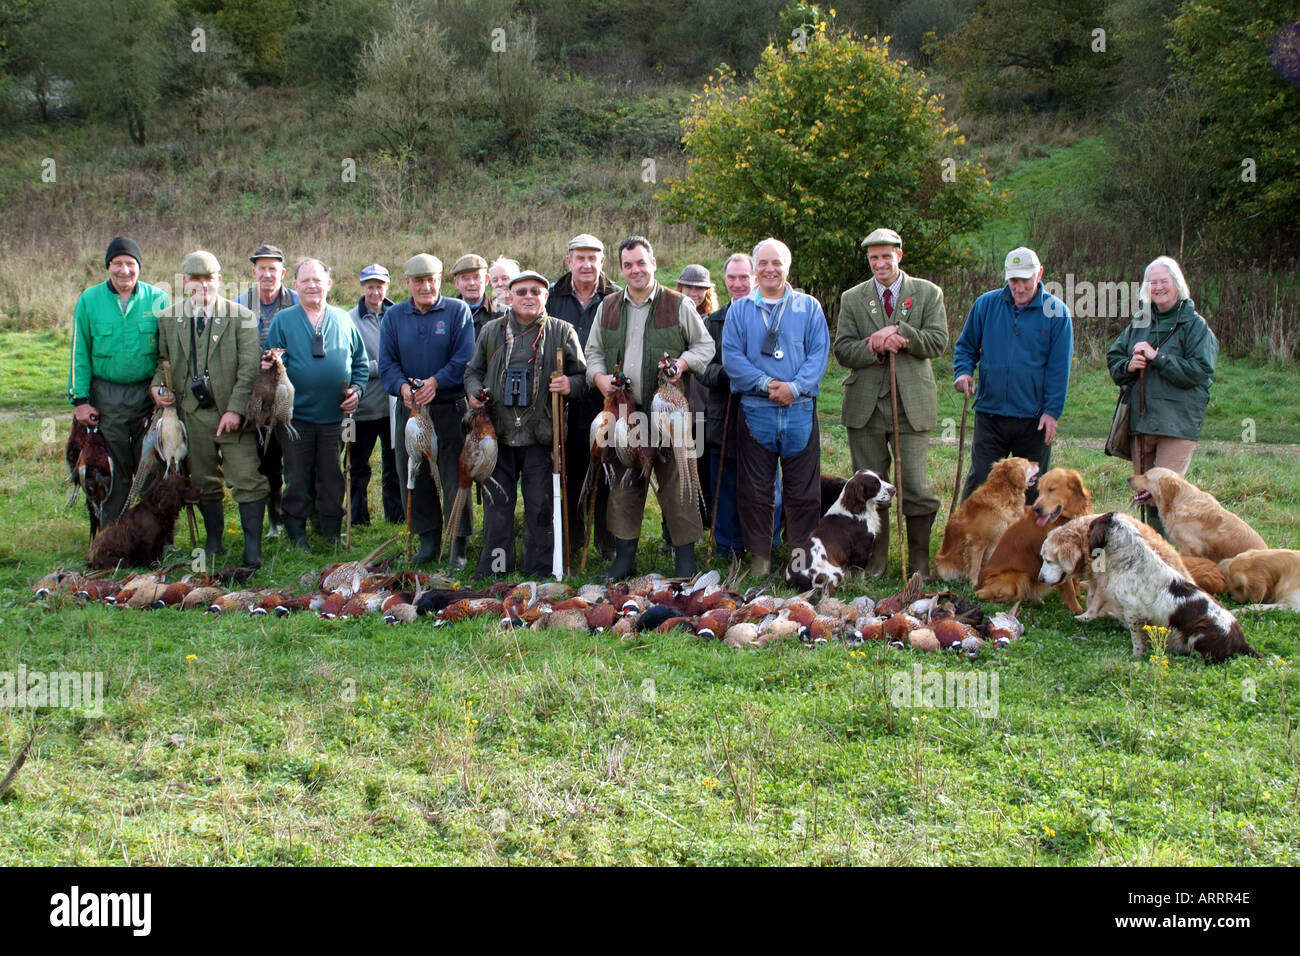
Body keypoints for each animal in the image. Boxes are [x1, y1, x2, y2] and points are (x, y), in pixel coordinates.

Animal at [977, 468, 1086, 613]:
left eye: (1052, 489)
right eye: (1040, 491)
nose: (1037, 509)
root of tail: (979, 584)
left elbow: (1076, 580)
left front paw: (1079, 596)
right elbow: (1069, 588)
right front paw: (1077, 610)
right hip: (1019, 576)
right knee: (987, 594)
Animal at [1086, 512, 1258, 660]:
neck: (1131, 561)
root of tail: (1241, 641)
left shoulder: (1133, 612)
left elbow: (1137, 640)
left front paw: (1136, 656)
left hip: (1198, 635)